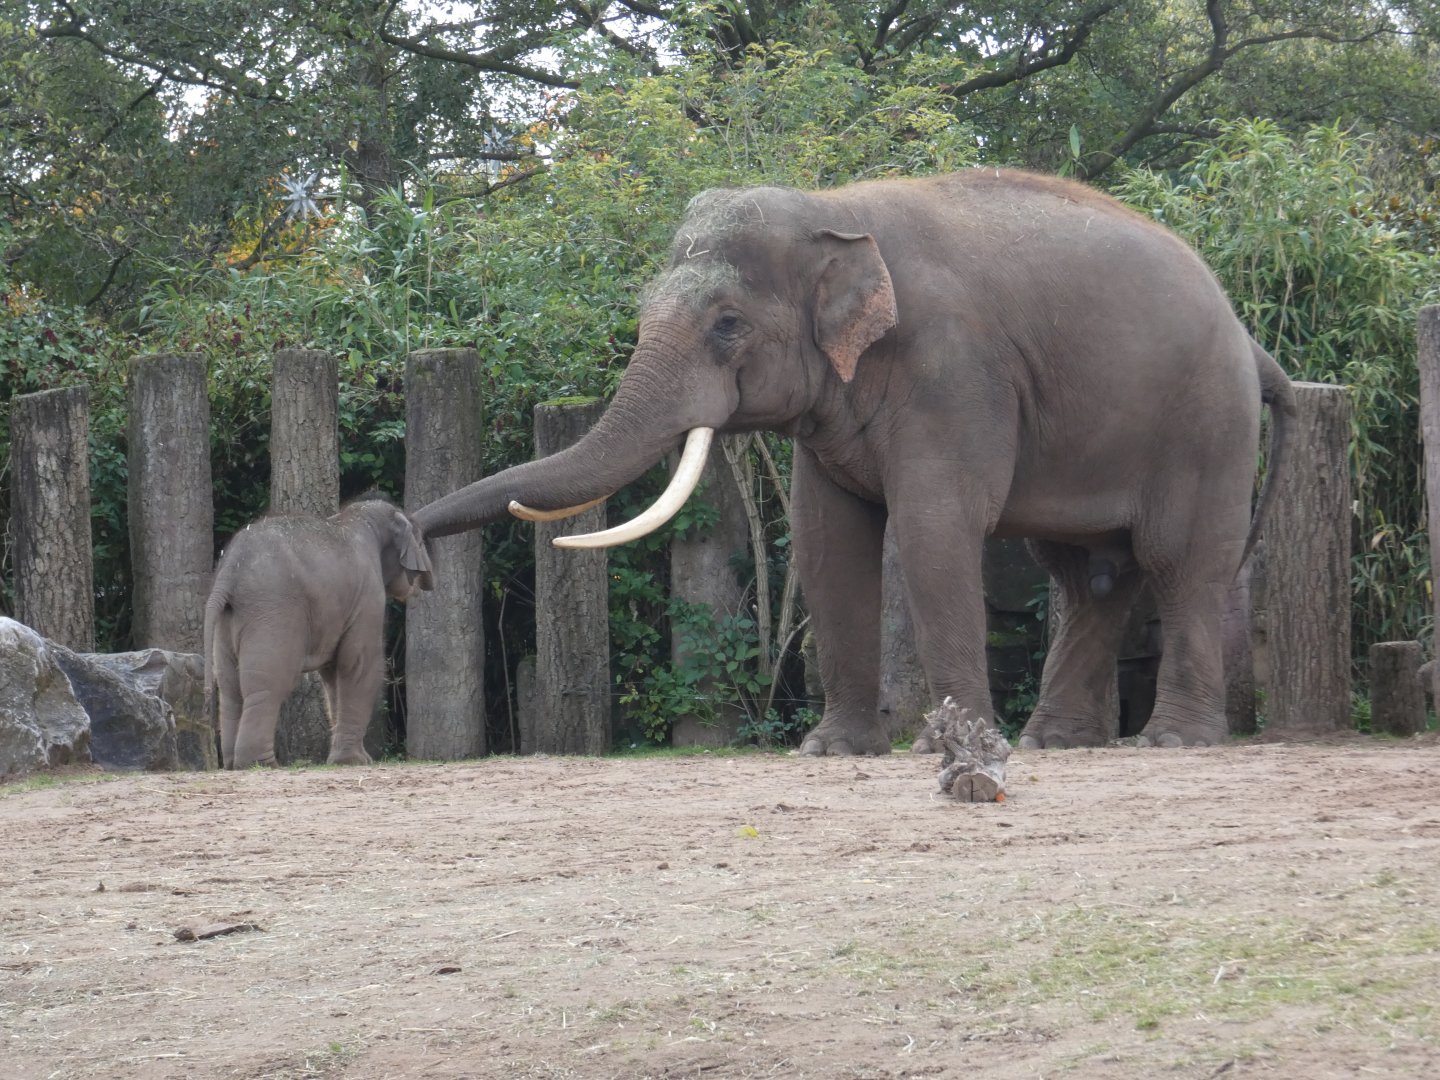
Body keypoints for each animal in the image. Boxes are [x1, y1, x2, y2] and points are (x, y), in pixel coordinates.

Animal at [203, 498, 433, 769]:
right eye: (421, 541)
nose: (425, 583)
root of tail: (228, 572)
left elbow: (333, 675)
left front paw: (347, 760)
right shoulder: (368, 595)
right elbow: (359, 664)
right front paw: (355, 762)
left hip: (227, 622)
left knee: (230, 686)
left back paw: (232, 763)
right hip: (273, 611)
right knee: (268, 682)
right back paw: (262, 764)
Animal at [414, 169, 1295, 754]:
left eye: (728, 324)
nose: (412, 548)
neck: (834, 210)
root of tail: (1251, 340)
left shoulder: (955, 371)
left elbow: (935, 527)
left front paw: (953, 746)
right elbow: (826, 537)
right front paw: (831, 751)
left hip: (1207, 424)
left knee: (1179, 559)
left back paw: (1171, 742)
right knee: (1091, 577)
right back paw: (1057, 742)